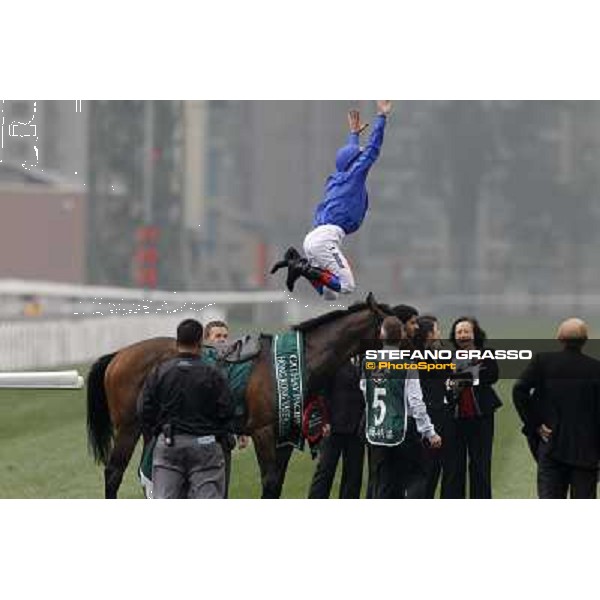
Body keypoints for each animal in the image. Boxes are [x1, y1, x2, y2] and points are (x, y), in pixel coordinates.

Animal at [86, 292, 392, 500]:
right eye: (396, 325)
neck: (294, 363)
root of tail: (120, 354)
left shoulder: (286, 433)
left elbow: (276, 483)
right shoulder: (264, 432)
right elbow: (269, 482)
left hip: (153, 429)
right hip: (129, 427)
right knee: (114, 473)